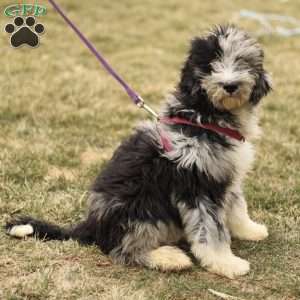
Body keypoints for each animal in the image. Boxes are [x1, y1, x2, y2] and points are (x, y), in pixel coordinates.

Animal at [5, 25, 272, 278]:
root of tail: (92, 225)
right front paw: (226, 263)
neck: (205, 115)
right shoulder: (197, 185)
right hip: (139, 208)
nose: (230, 85)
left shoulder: (224, 174)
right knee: (123, 249)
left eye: (241, 60)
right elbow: (210, 229)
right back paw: (167, 258)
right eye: (210, 65)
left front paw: (249, 230)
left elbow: (236, 206)